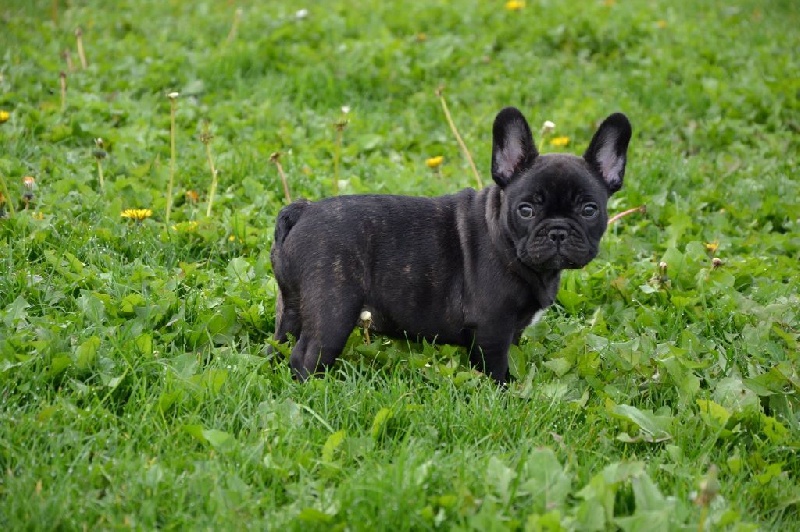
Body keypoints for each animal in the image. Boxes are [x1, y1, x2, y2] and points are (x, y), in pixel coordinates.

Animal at [270, 107, 631, 384]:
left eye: (589, 210)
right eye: (526, 210)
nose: (557, 231)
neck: (503, 236)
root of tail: (302, 211)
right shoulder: (492, 328)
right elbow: (495, 369)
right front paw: (502, 396)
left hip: (292, 305)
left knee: (281, 341)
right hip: (333, 310)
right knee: (306, 357)